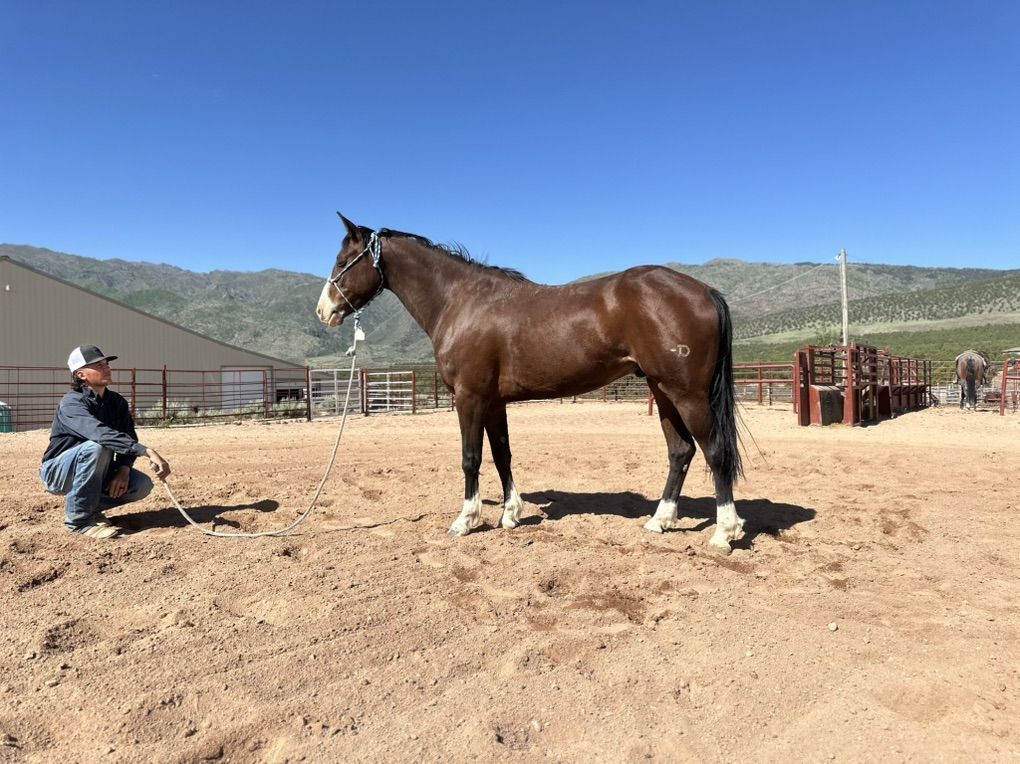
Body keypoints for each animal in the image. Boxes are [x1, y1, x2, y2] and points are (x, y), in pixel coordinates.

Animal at [316, 214, 744, 554]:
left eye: (342, 261)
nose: (323, 311)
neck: (461, 301)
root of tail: (705, 291)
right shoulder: (493, 402)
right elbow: (502, 454)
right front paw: (510, 514)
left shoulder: (469, 398)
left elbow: (471, 458)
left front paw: (465, 521)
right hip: (662, 391)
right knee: (680, 452)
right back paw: (660, 521)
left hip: (687, 395)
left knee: (715, 453)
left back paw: (724, 533)